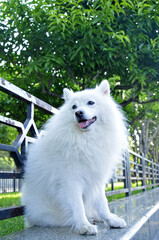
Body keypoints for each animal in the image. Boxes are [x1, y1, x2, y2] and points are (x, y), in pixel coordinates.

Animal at [21, 80, 128, 234]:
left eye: (91, 102)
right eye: (74, 107)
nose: (78, 113)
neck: (87, 139)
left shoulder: (96, 180)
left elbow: (103, 204)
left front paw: (110, 220)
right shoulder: (71, 181)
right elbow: (78, 206)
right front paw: (84, 226)